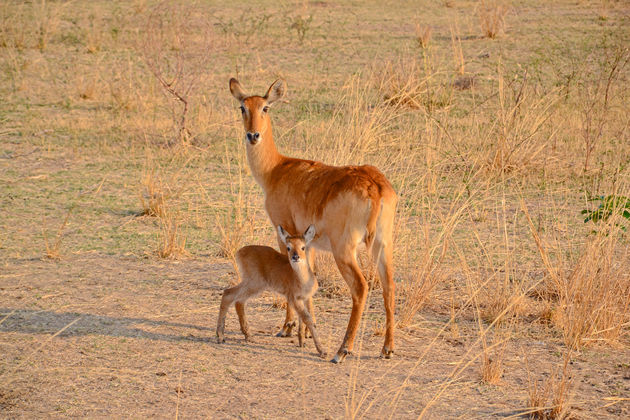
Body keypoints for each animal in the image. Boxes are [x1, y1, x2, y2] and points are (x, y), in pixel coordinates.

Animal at [217, 225, 328, 360]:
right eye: (288, 247)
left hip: (252, 284)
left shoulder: (305, 298)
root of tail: (239, 252)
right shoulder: (294, 299)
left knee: (238, 300)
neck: (303, 279)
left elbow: (303, 319)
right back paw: (221, 337)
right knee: (229, 294)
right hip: (254, 283)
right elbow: (308, 319)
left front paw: (302, 342)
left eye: (303, 247)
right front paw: (322, 351)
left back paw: (248, 336)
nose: (295, 257)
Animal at [231, 79, 400, 364]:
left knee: (361, 287)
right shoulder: (306, 243)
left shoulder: (285, 233)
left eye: (265, 107)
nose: (253, 136)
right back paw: (387, 348)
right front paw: (307, 332)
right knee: (389, 285)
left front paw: (287, 328)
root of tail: (375, 186)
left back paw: (342, 351)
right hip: (381, 243)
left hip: (345, 250)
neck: (277, 169)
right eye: (243, 106)